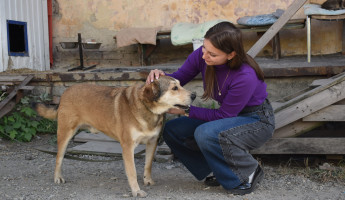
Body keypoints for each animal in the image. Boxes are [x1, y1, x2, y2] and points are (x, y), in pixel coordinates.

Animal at [34, 76, 196, 198]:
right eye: (174, 88)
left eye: (180, 85)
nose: (194, 95)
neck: (148, 109)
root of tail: (66, 92)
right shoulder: (128, 147)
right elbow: (132, 172)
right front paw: (136, 191)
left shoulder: (152, 142)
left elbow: (148, 164)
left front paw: (148, 180)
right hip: (65, 133)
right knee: (59, 158)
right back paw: (57, 177)